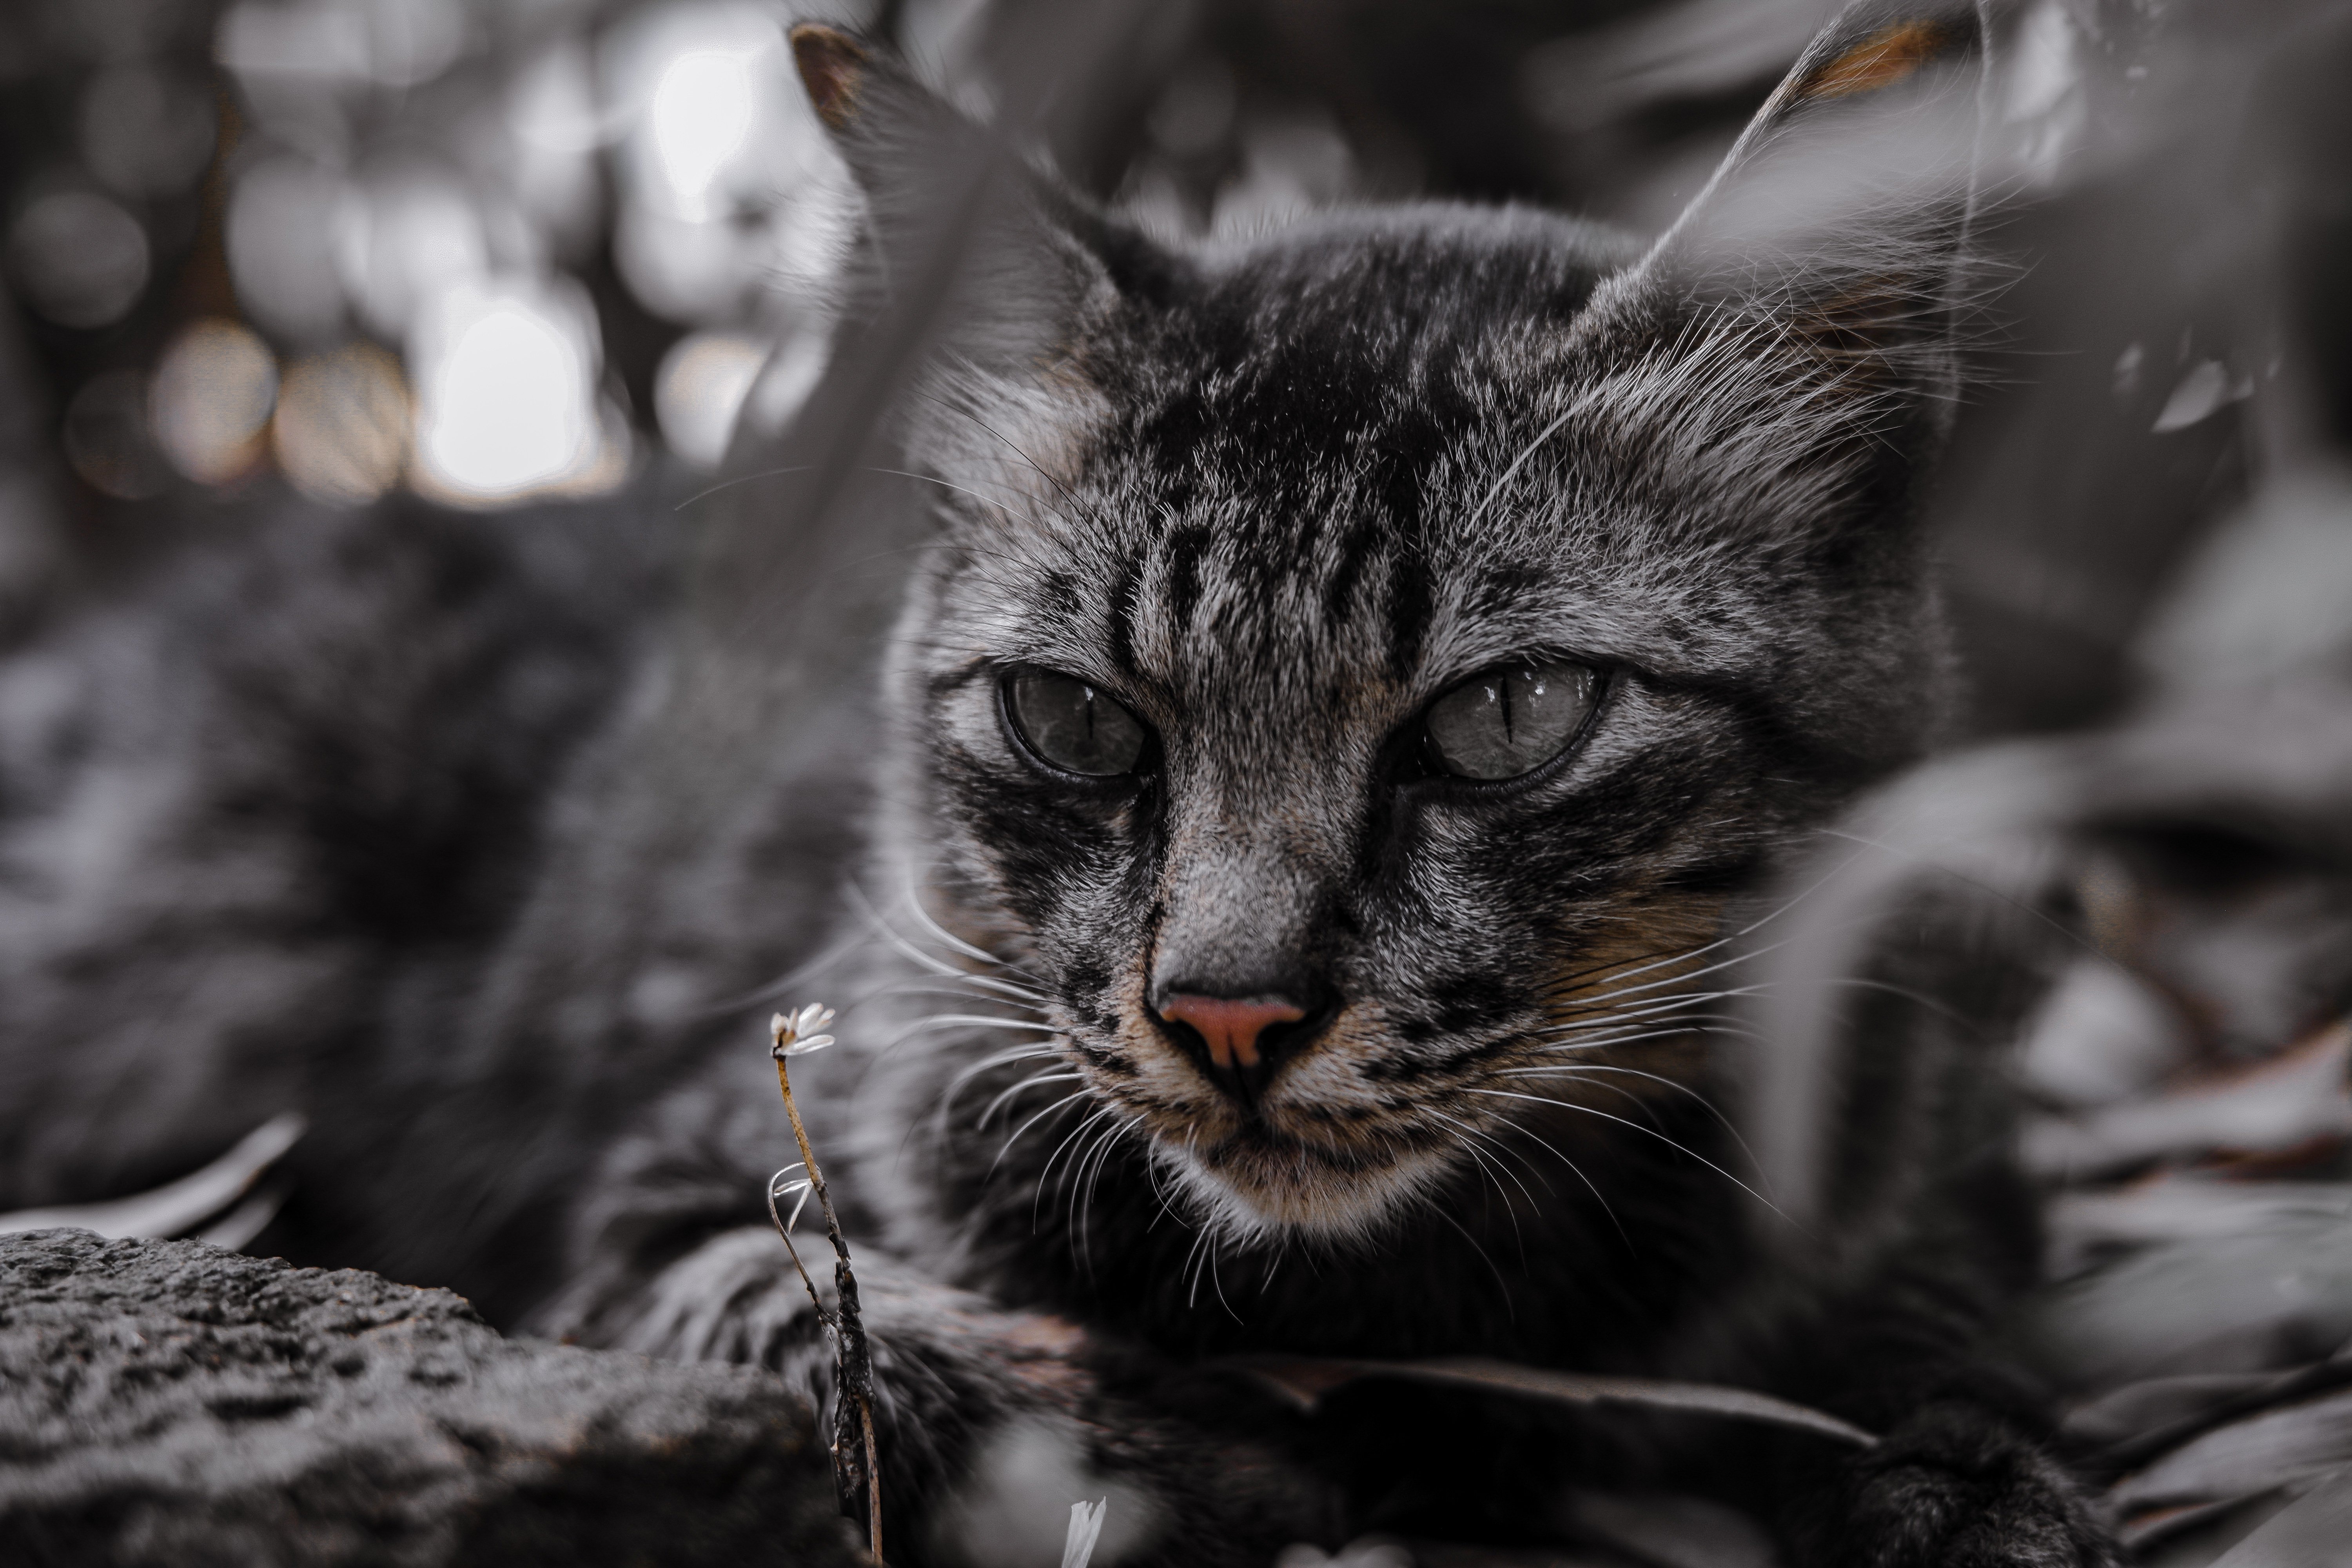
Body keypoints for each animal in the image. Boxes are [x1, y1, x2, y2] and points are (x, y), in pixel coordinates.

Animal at [546, 6, 2117, 1561]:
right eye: (1072, 719)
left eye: (1508, 714)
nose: (1226, 1014)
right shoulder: (644, 1208)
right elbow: (821, 1322)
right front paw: (1170, 1459)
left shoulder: (1934, 1128)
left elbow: (1933, 1325)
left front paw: (1968, 1489)